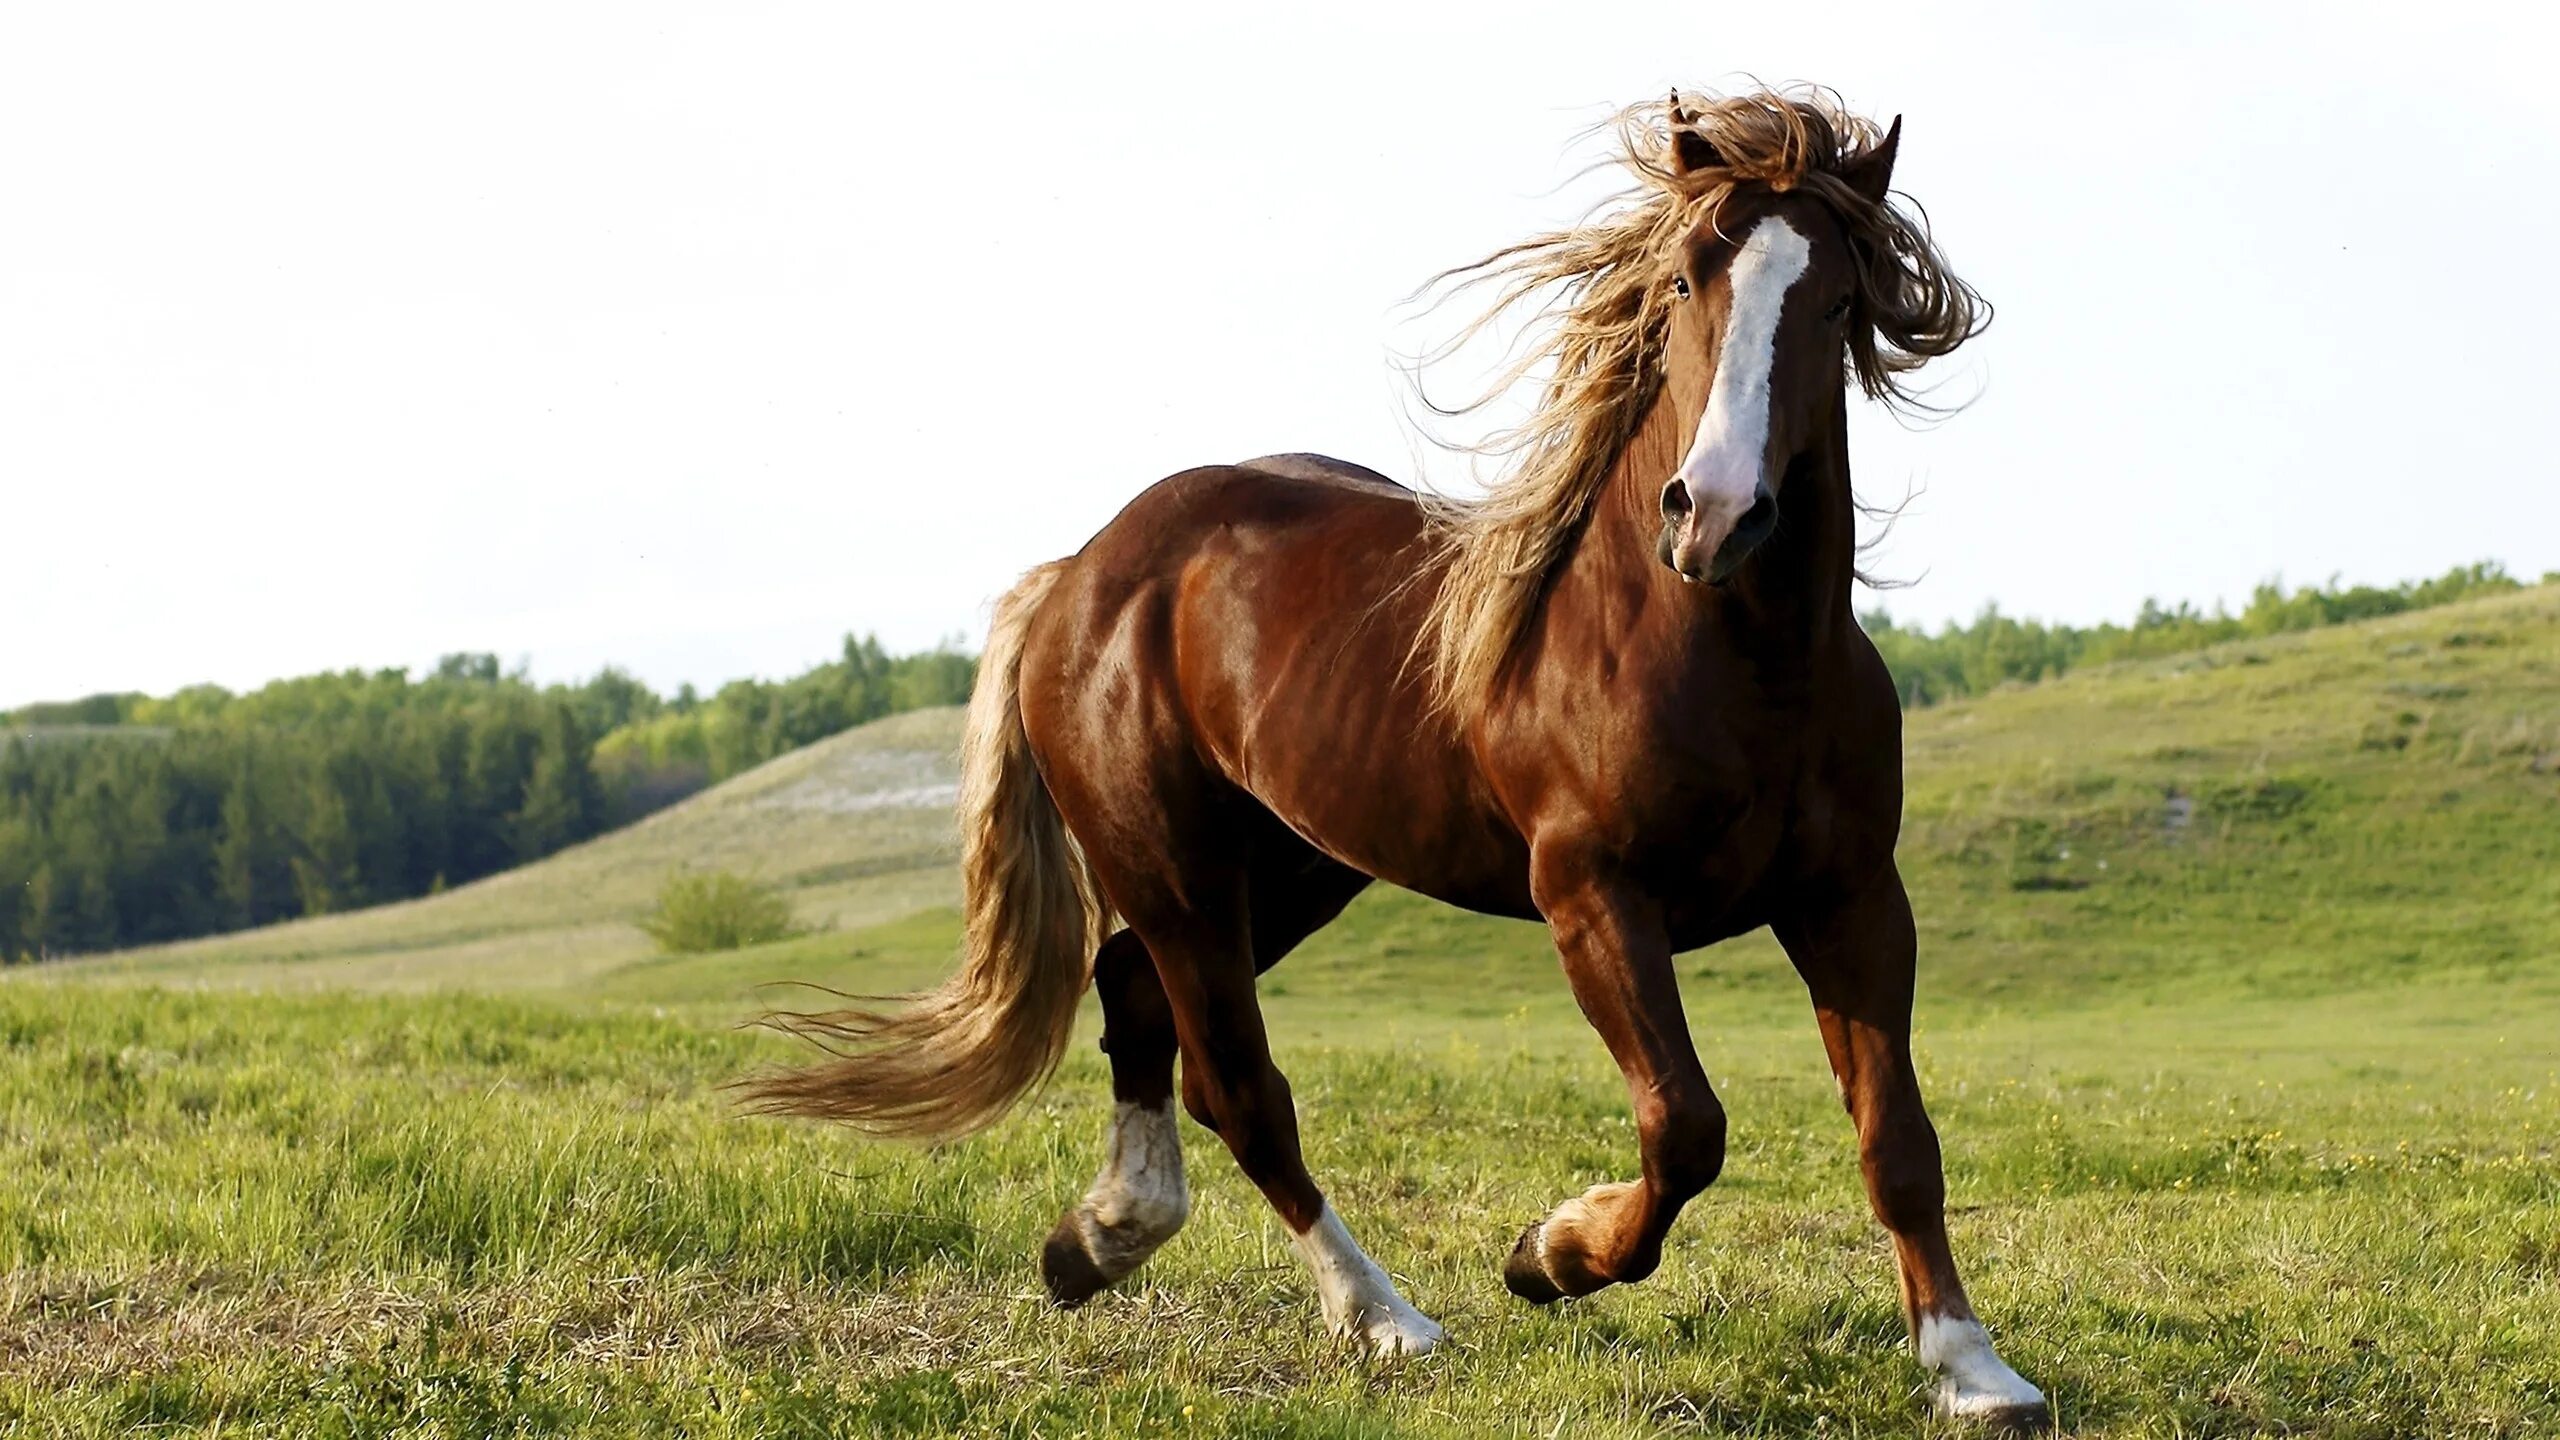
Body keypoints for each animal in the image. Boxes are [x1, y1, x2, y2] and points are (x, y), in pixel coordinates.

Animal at [747, 87, 2048, 1424]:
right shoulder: (1591, 896)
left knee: (1136, 999)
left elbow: (1898, 1141)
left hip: (1292, 870)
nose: (1717, 515)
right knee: (1241, 1090)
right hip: (1177, 873)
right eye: (1687, 277)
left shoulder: (1852, 899)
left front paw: (1972, 1368)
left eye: (1837, 299)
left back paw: (1099, 1239)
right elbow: (1684, 1126)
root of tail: (1083, 572)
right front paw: (1549, 1255)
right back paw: (1382, 1318)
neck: (1727, 653)